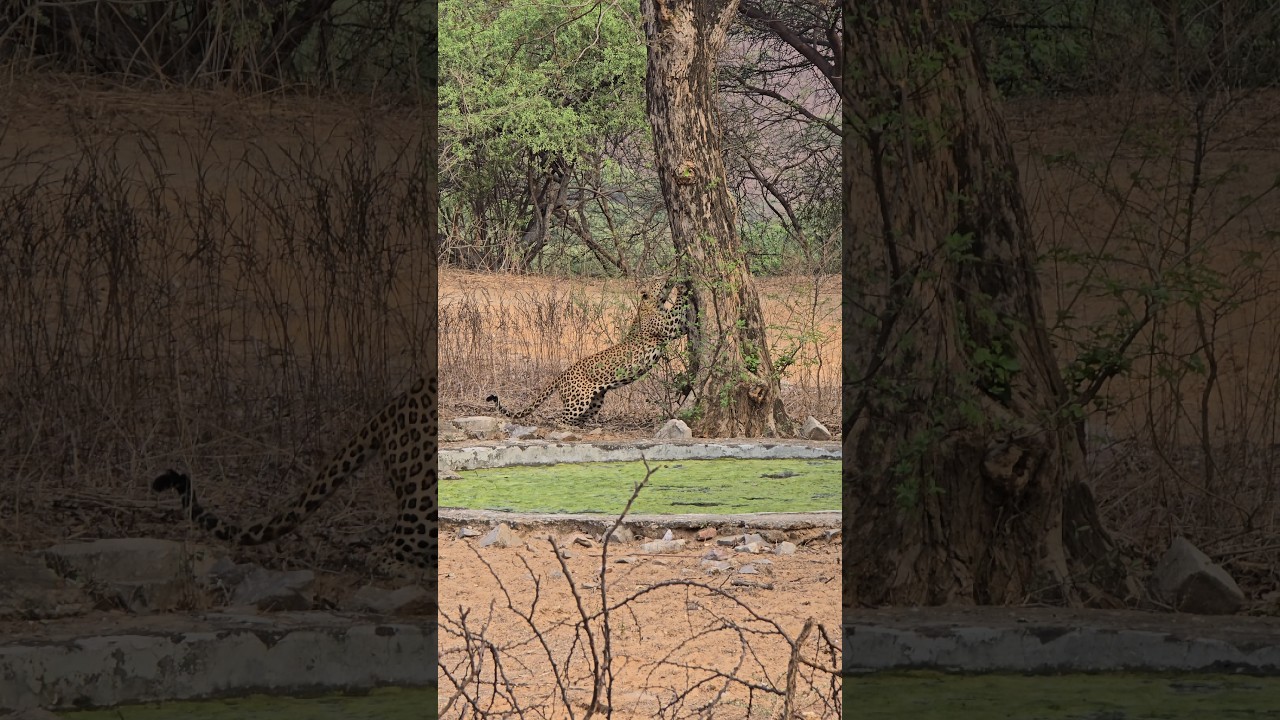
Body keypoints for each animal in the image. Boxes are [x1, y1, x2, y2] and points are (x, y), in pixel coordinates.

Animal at [487, 280, 689, 426]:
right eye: (658, 279)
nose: (668, 275)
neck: (652, 304)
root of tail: (561, 375)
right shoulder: (669, 326)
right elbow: (679, 308)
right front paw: (683, 287)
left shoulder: (675, 328)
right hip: (578, 400)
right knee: (560, 420)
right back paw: (568, 428)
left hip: (595, 401)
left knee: (581, 418)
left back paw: (584, 427)